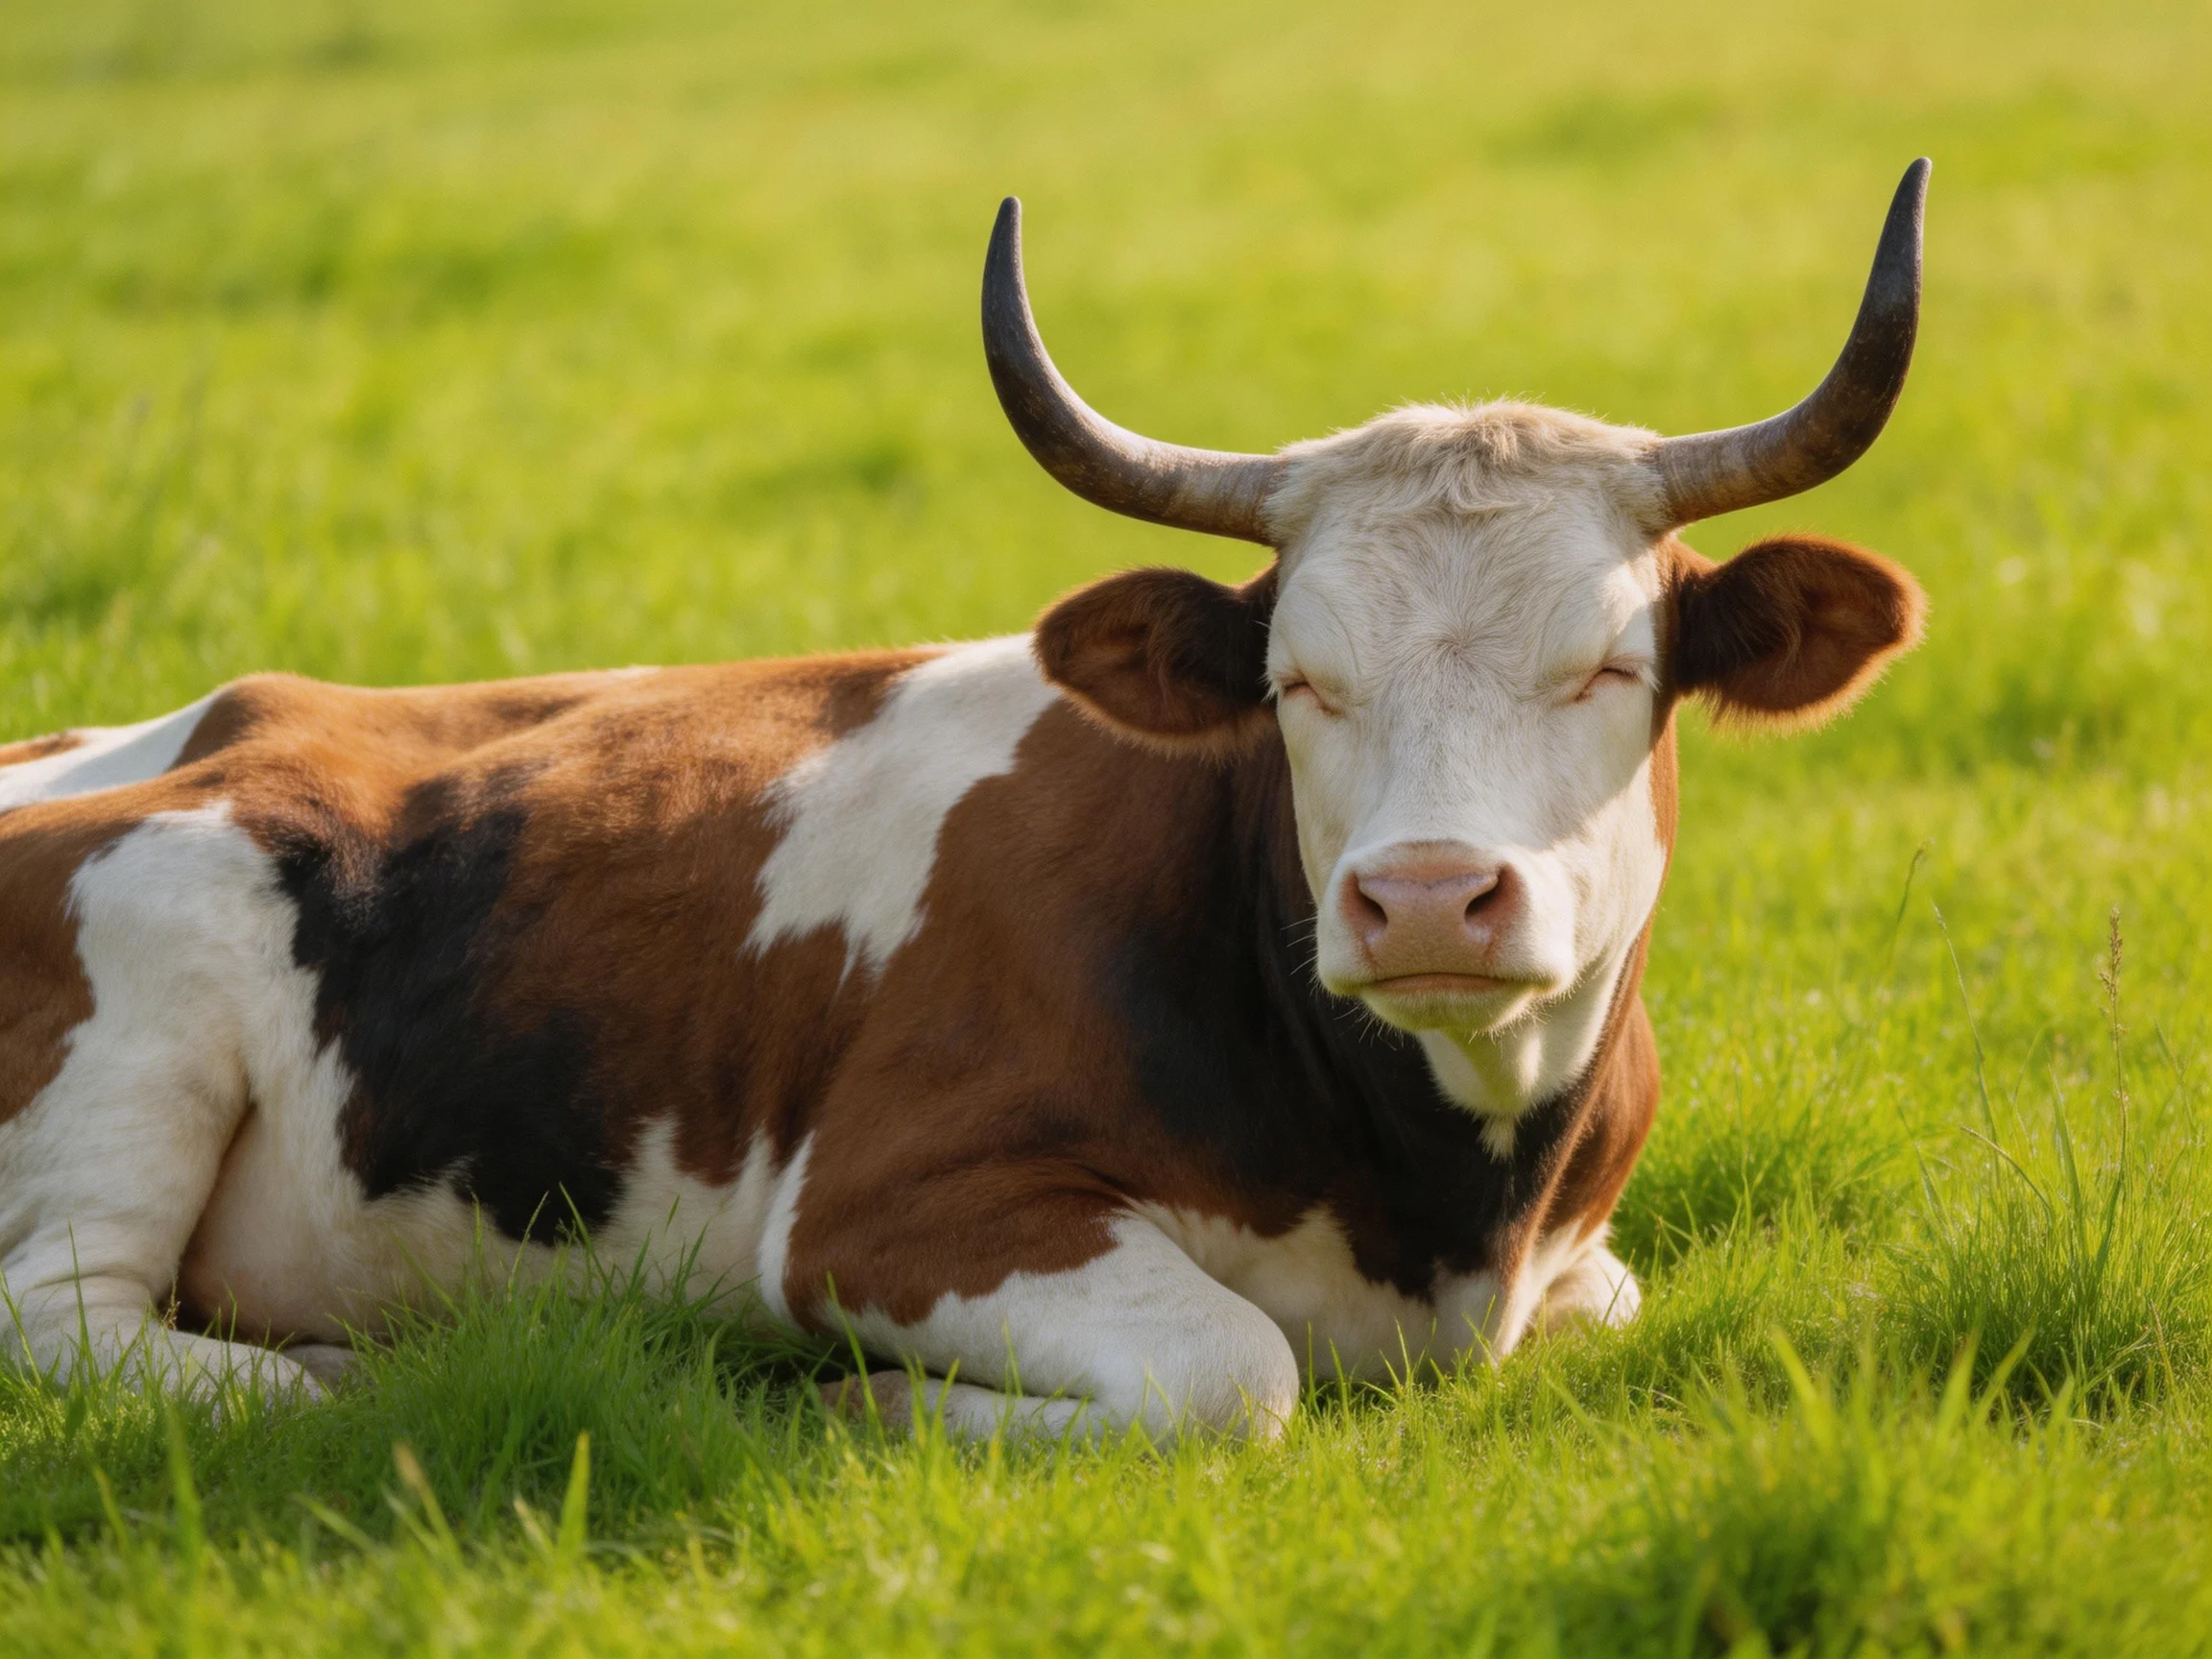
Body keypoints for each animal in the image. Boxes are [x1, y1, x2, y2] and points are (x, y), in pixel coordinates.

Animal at [0, 164, 1930, 1440]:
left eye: (1608, 665)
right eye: (1297, 679)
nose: (1428, 899)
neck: (1449, 1193)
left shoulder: (1584, 1269)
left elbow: (1598, 1312)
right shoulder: (886, 1210)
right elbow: (1236, 1373)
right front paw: (865, 1403)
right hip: (148, 977)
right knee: (73, 1332)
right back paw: (337, 1374)